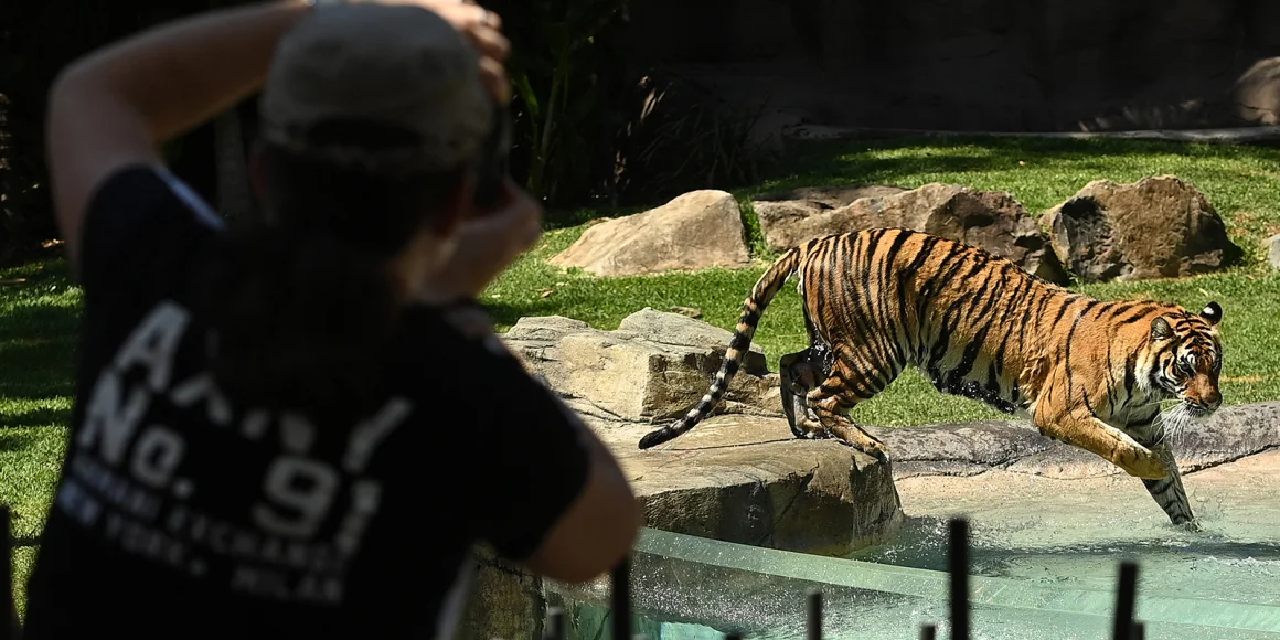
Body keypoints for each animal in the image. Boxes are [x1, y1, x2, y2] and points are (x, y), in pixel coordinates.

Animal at [645, 229, 1223, 529]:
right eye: (1188, 366)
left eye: (1214, 365)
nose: (1213, 402)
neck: (1147, 376)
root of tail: (816, 240)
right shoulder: (1060, 411)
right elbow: (1126, 450)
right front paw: (1152, 469)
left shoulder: (1146, 422)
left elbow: (1171, 488)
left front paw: (1193, 533)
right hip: (875, 350)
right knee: (825, 394)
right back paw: (865, 442)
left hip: (833, 343)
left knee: (791, 366)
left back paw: (803, 429)